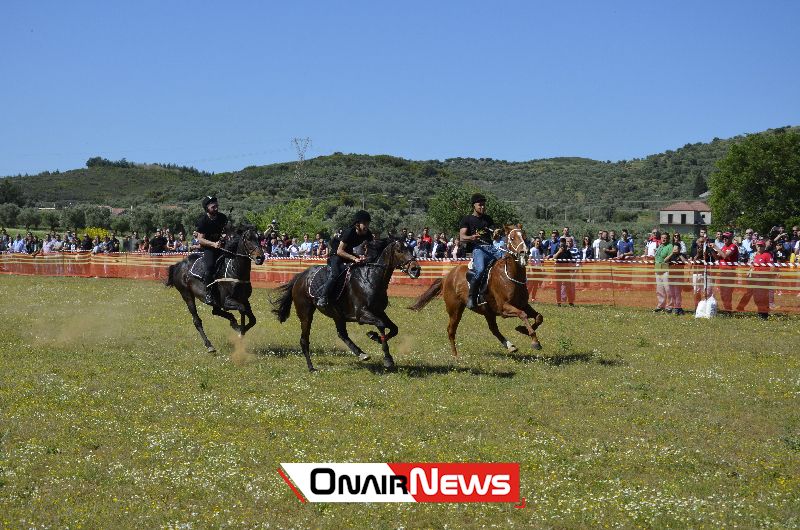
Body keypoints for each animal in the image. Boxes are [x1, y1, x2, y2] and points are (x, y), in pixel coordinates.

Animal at [272, 237, 422, 370]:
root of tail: (300, 276)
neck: (371, 279)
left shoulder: (379, 311)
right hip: (306, 313)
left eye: (410, 249)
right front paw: (387, 357)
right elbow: (381, 324)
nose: (416, 270)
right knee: (304, 340)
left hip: (337, 315)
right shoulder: (362, 314)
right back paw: (311, 367)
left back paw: (361, 354)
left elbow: (394, 328)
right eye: (399, 250)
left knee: (342, 334)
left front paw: (376, 337)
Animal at [412, 225, 544, 356]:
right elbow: (523, 314)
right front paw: (534, 341)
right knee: (451, 330)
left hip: (487, 312)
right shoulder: (504, 308)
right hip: (455, 309)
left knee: (493, 329)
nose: (524, 253)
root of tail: (447, 277)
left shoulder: (523, 305)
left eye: (525, 237)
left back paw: (510, 346)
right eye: (512, 238)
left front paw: (522, 329)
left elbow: (539, 317)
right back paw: (455, 356)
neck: (510, 275)